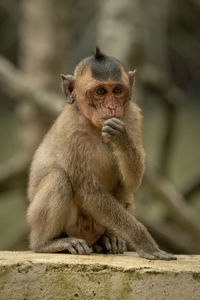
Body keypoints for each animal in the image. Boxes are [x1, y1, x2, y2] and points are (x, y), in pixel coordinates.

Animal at [27, 47, 177, 260]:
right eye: (100, 91)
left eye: (117, 90)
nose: (112, 107)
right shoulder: (71, 131)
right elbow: (89, 191)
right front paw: (146, 243)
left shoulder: (132, 116)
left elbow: (131, 183)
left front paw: (121, 138)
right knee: (59, 178)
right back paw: (47, 243)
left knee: (122, 189)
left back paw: (107, 240)